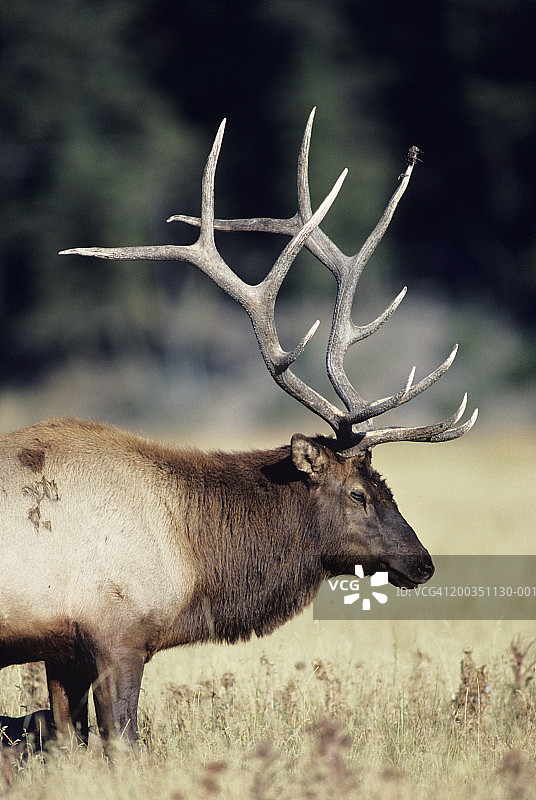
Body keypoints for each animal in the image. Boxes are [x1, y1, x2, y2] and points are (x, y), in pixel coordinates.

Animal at [0, 110, 477, 748]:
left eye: (388, 487)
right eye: (358, 493)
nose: (422, 561)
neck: (194, 559)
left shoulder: (61, 649)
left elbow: (64, 741)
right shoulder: (116, 632)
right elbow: (121, 741)